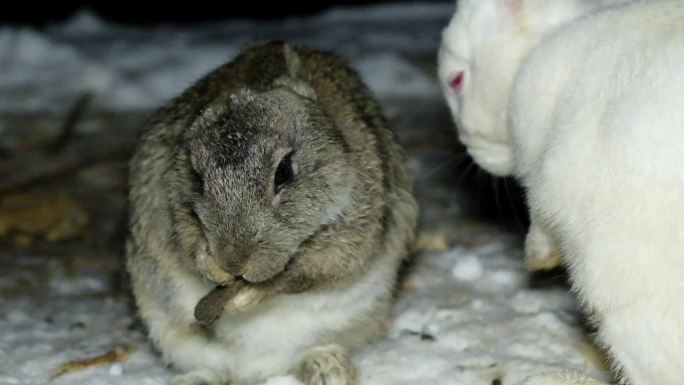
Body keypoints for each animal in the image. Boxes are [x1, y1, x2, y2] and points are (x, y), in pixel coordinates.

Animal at [125, 40, 420, 382]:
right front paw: (213, 270)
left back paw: (328, 368)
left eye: (284, 172)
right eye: (197, 178)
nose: (233, 263)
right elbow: (188, 247)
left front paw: (246, 298)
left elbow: (304, 273)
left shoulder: (352, 235)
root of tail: (258, 369)